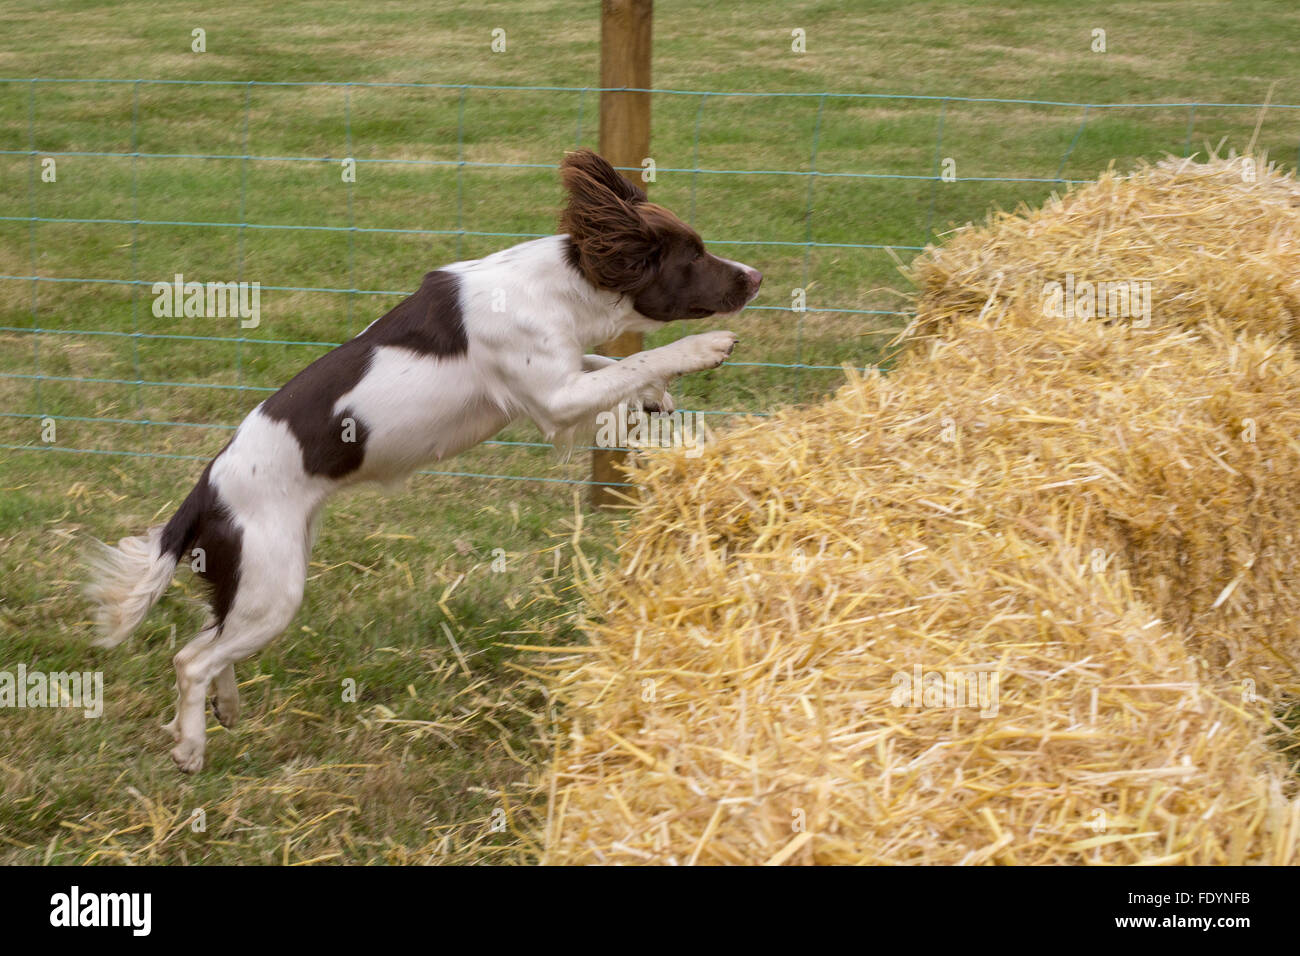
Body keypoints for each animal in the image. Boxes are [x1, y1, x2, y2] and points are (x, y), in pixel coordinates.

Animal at [86, 151, 759, 780]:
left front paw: (655, 396)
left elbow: (609, 362)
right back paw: (190, 748)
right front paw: (701, 350)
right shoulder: (552, 398)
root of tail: (204, 490)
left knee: (208, 639)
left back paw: (224, 709)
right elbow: (633, 360)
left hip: (259, 577)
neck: (559, 287)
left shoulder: (562, 376)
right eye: (694, 254)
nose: (756, 276)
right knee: (192, 659)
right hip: (272, 587)